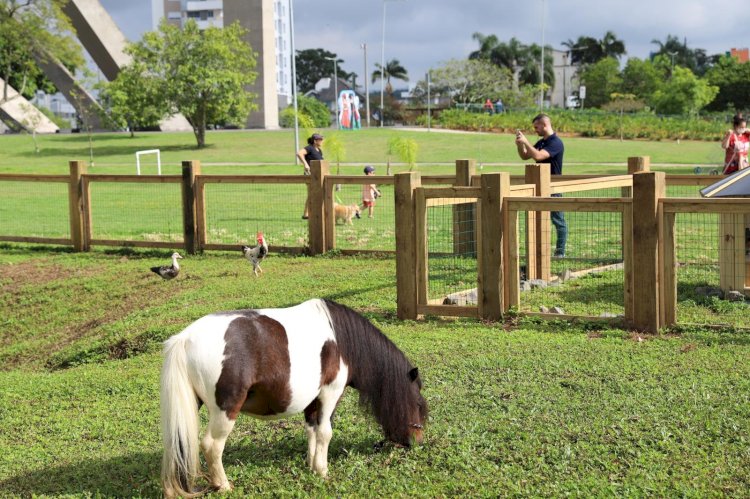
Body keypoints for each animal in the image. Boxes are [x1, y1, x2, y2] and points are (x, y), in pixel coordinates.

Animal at [160, 298, 428, 498]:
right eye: (417, 404)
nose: (417, 441)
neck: (341, 340)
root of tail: (184, 339)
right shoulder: (330, 393)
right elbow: (325, 432)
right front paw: (322, 470)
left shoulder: (313, 401)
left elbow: (312, 430)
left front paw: (312, 464)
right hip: (225, 411)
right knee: (211, 446)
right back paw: (223, 486)